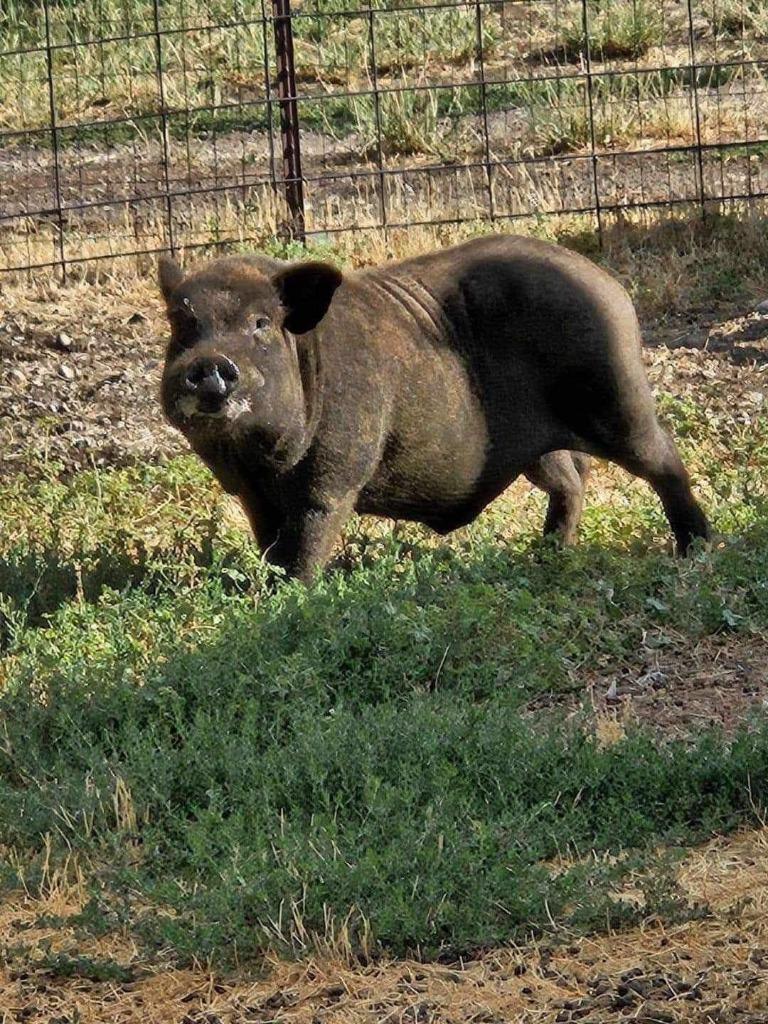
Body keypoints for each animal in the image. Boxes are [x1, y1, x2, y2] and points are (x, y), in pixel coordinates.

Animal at [158, 235, 709, 583]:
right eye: (182, 325)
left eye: (261, 324)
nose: (210, 364)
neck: (257, 460)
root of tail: (610, 286)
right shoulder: (253, 496)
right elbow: (271, 546)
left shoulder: (333, 477)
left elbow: (306, 548)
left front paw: (291, 596)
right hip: (541, 448)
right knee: (572, 478)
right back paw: (548, 553)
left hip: (617, 399)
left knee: (664, 460)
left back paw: (695, 550)